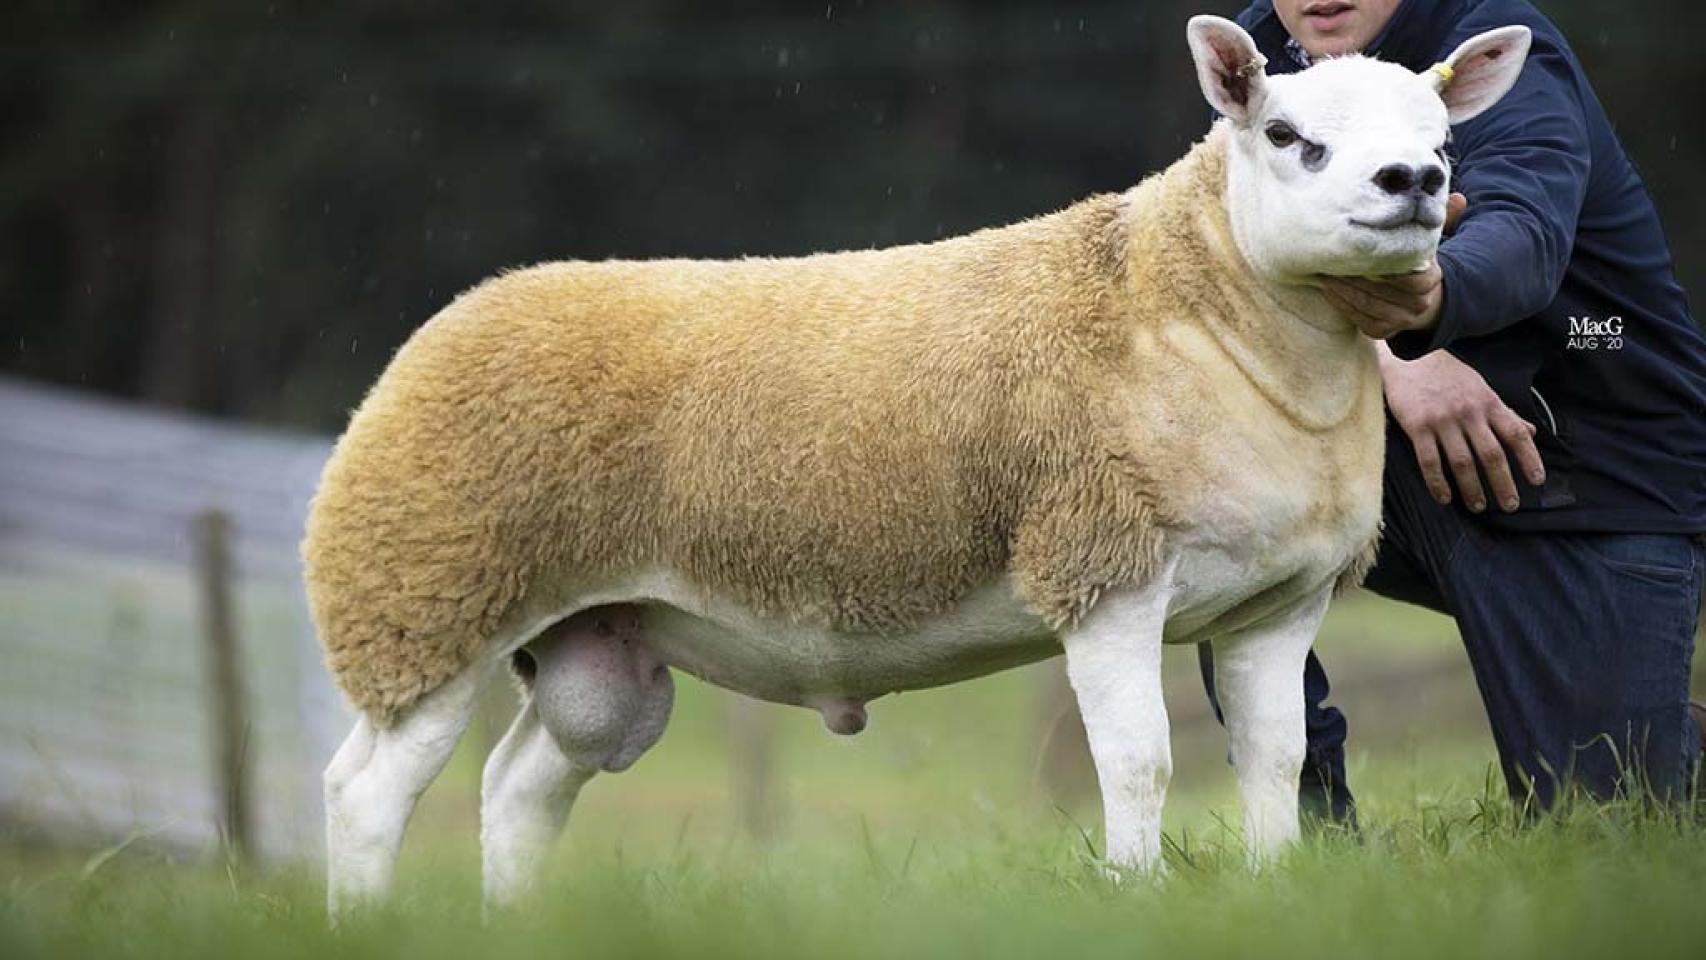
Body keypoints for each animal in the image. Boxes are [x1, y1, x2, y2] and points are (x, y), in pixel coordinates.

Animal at [305, 15, 1532, 916]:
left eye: (1442, 134)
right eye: (1284, 134)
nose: (1410, 180)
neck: (1200, 311)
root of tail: (456, 316)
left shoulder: (1279, 603)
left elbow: (1276, 761)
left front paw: (1272, 890)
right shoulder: (1102, 570)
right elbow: (1139, 763)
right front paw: (1132, 897)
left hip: (593, 643)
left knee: (517, 788)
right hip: (424, 597)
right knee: (364, 794)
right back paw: (365, 922)